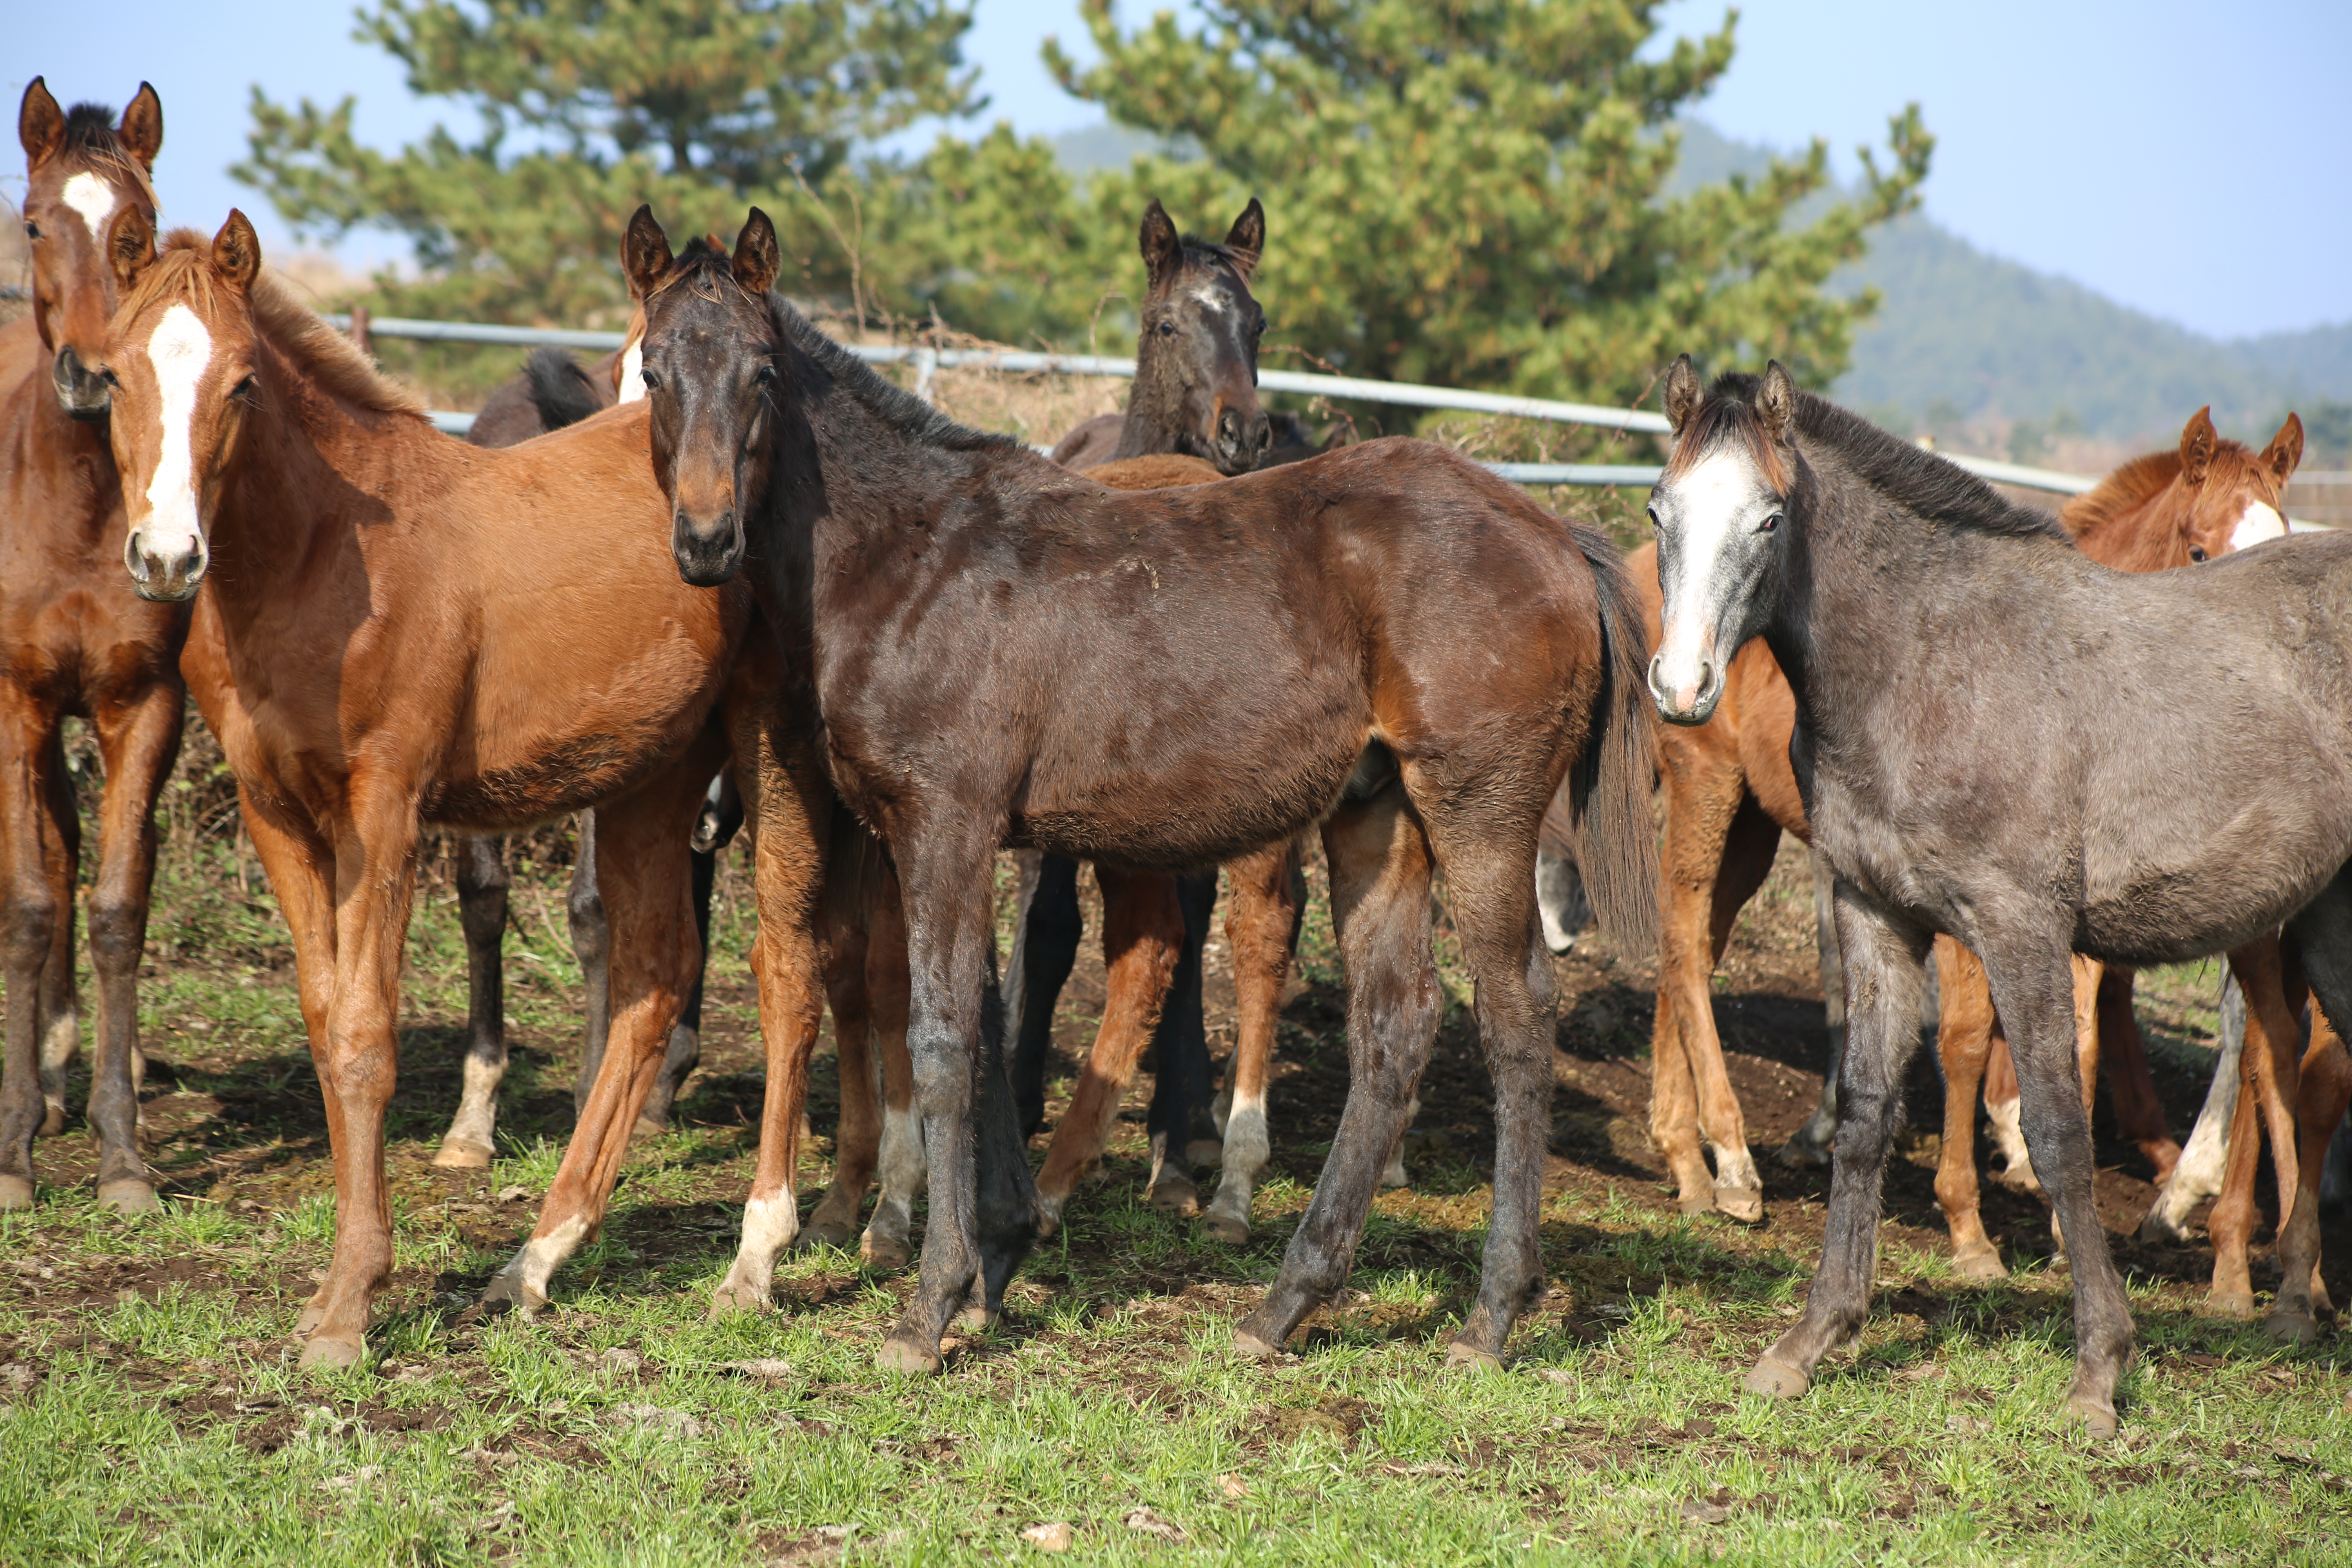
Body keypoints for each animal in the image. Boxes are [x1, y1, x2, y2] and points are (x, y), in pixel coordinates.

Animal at [626, 208, 1656, 1373]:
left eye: (760, 373)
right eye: (654, 371)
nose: (705, 542)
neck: (911, 556)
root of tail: (1555, 536)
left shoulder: (945, 824)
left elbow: (941, 1040)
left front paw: (931, 1305)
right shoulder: (956, 834)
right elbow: (988, 1029)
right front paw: (995, 1266)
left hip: (1479, 812)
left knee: (1517, 1015)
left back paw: (1490, 1314)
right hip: (1376, 816)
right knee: (1395, 1025)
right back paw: (1285, 1304)